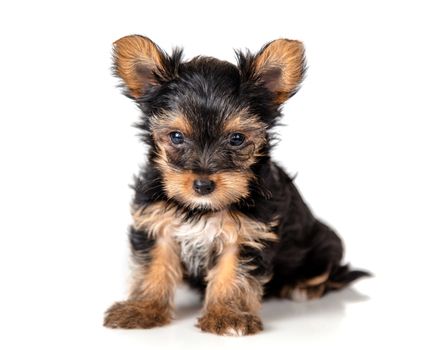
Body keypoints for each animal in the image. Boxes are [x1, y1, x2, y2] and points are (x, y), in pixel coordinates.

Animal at [103, 35, 368, 336]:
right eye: (176, 136)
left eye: (237, 138)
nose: (203, 185)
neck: (202, 208)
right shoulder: (157, 223)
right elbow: (153, 267)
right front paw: (142, 308)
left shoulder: (248, 233)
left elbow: (233, 274)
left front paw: (228, 315)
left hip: (325, 245)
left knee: (330, 274)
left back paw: (302, 288)